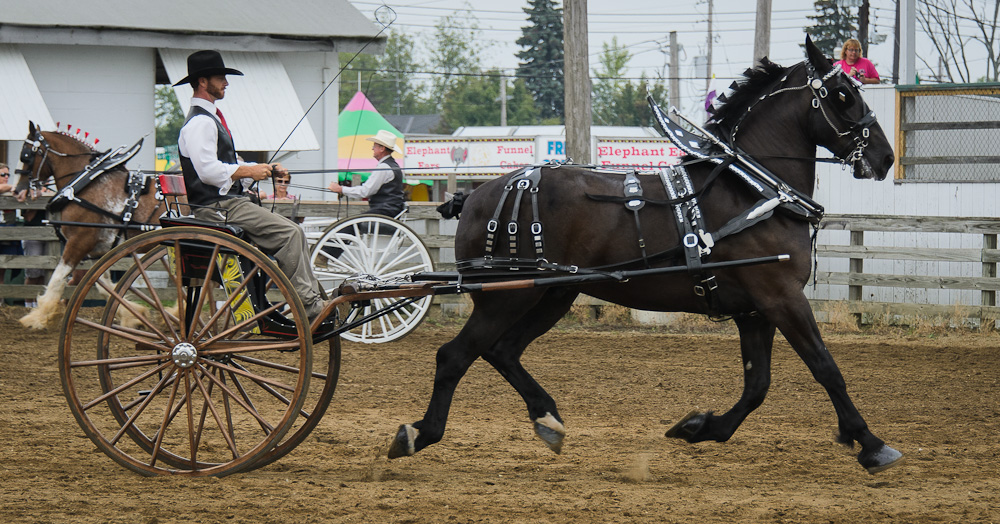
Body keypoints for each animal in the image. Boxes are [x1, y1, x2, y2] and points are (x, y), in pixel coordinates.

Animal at [13, 122, 168, 329]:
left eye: (26, 155)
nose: (17, 191)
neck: (87, 182)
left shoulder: (79, 241)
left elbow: (57, 279)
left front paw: (39, 317)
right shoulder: (99, 250)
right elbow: (105, 287)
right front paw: (133, 316)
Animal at [386, 37, 904, 474]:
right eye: (843, 94)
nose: (885, 157)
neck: (752, 191)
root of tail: (477, 194)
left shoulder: (755, 310)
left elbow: (757, 385)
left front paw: (700, 427)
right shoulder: (781, 297)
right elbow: (826, 368)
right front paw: (871, 443)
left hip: (551, 294)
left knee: (502, 350)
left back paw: (546, 418)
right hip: (505, 296)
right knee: (455, 355)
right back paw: (419, 433)